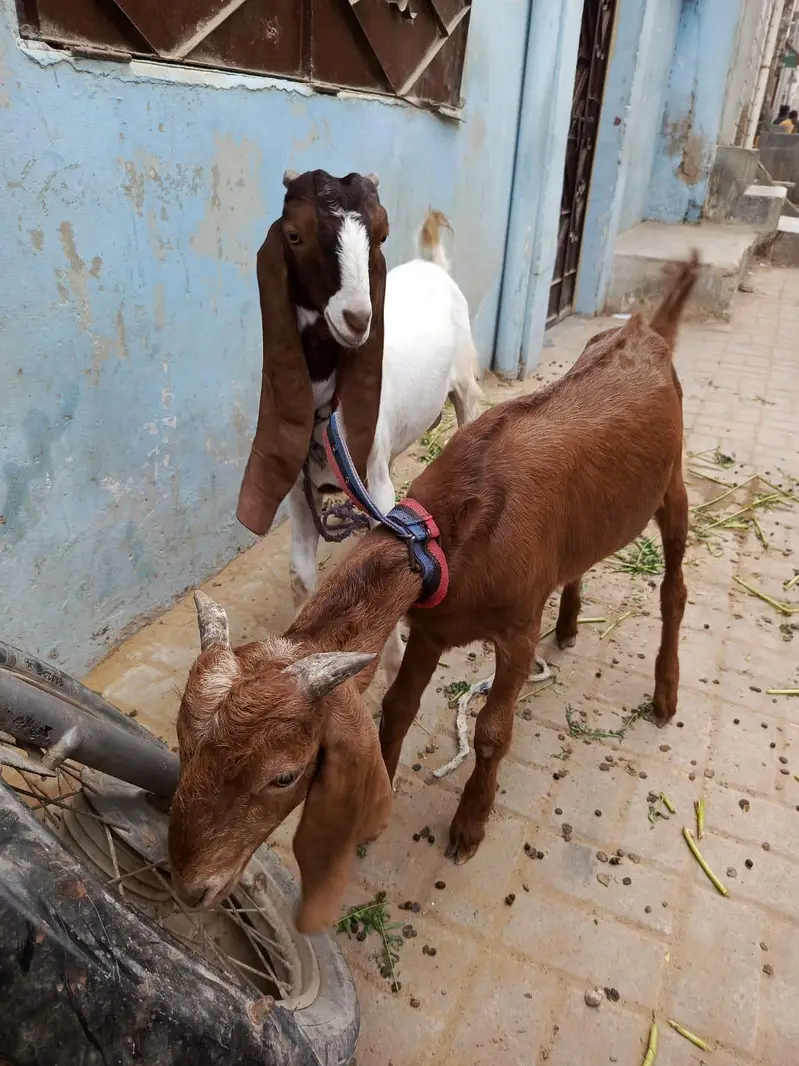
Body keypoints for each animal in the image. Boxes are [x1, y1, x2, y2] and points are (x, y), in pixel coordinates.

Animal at [168, 254, 699, 934]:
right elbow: (397, 706)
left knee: (675, 587)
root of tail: (644, 331)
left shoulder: (517, 628)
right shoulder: (431, 623)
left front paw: (469, 826)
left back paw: (665, 692)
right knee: (582, 561)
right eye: (183, 741)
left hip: (673, 483)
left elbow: (495, 730)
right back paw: (572, 625)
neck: (445, 533)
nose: (190, 887)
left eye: (284, 775)